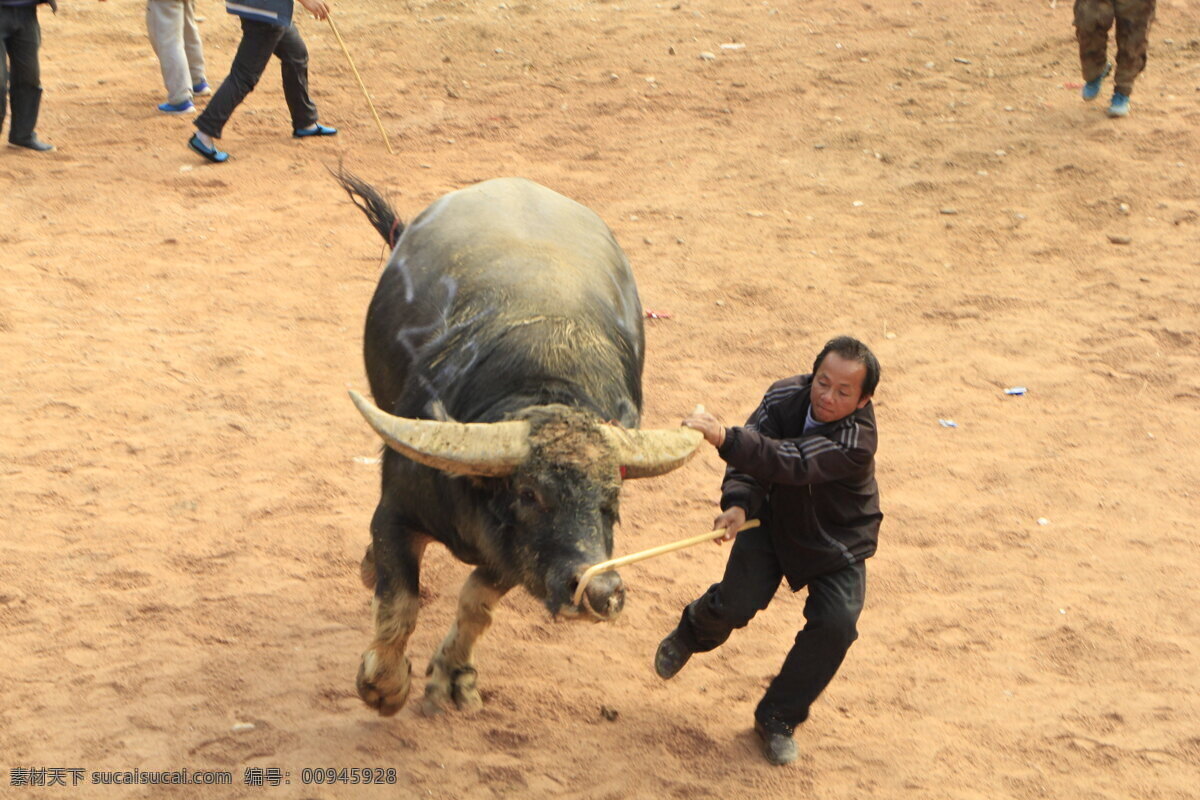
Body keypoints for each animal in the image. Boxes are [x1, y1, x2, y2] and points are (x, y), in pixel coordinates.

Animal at [333, 172, 700, 714]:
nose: (601, 590)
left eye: (612, 499)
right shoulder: (395, 510)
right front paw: (384, 686)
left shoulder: (511, 557)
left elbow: (476, 606)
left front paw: (453, 677)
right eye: (530, 494)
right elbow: (399, 601)